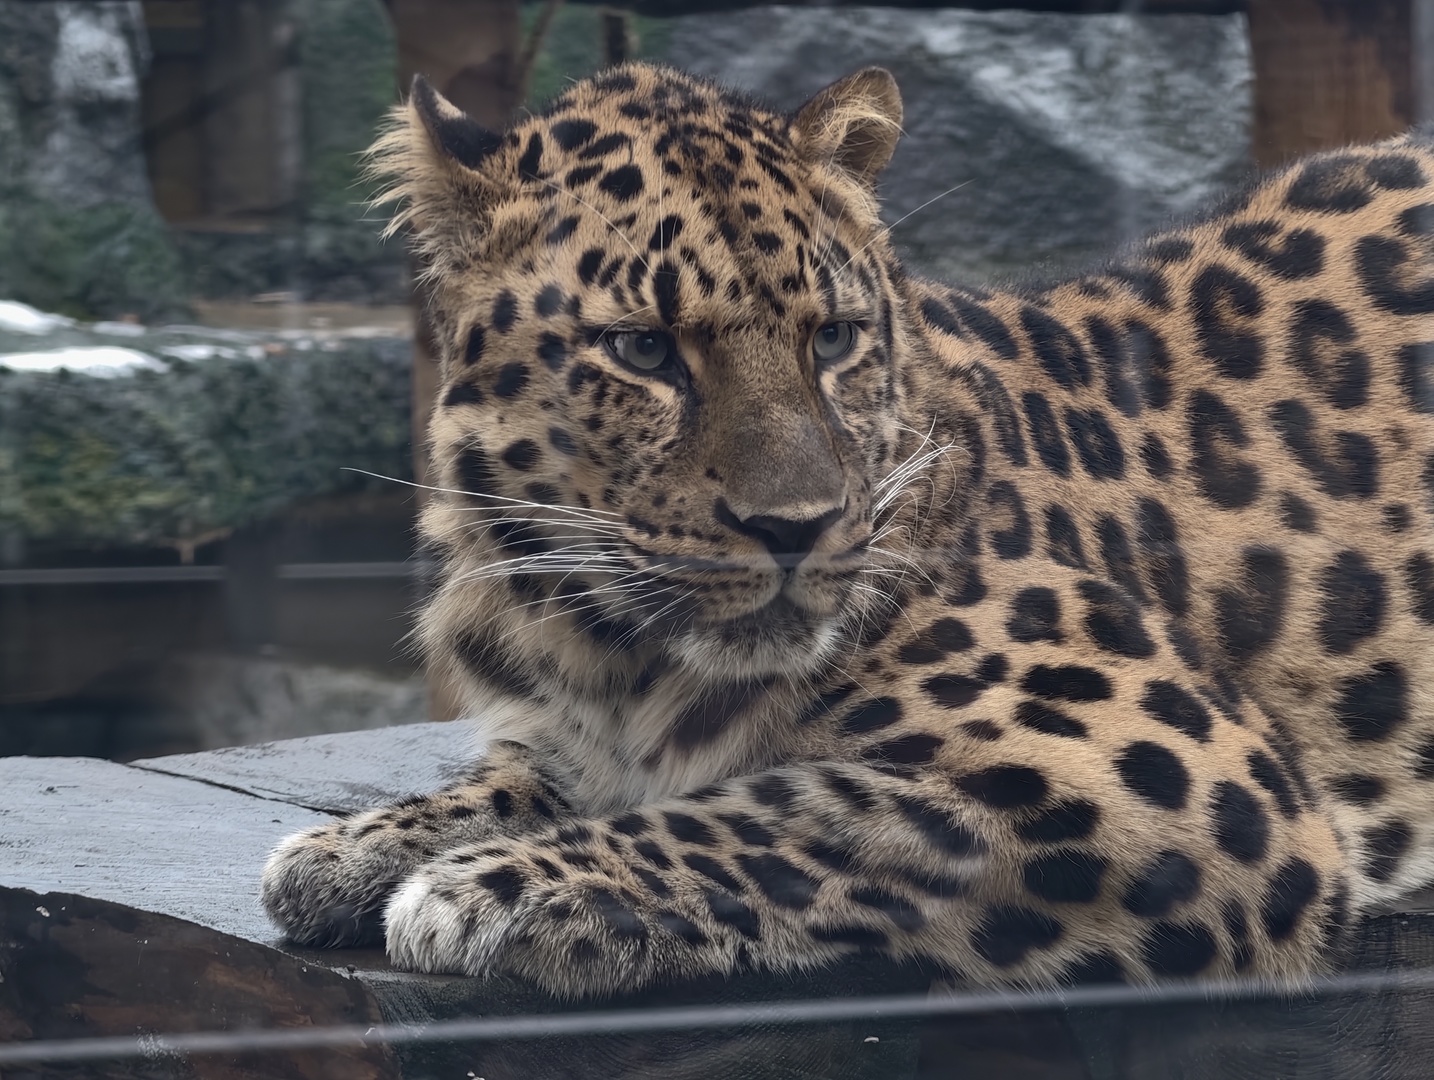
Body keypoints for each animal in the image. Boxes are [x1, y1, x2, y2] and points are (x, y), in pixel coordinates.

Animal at [261, 61, 1434, 999]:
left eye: (832, 339)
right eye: (643, 350)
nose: (798, 527)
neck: (612, 656)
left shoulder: (1187, 778)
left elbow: (795, 809)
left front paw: (498, 887)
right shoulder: (563, 725)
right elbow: (515, 779)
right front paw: (360, 845)